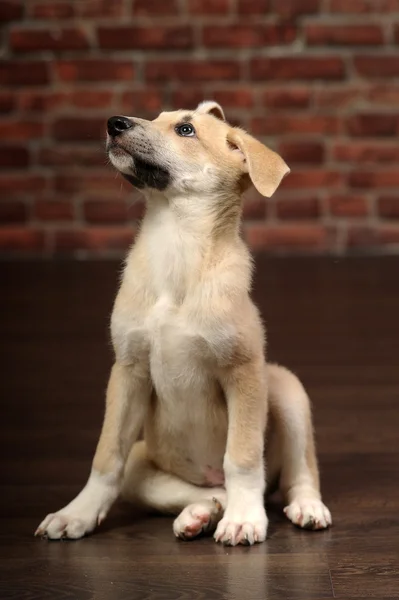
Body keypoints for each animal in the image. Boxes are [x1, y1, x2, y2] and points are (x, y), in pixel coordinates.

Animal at [36, 102, 332, 544]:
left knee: (294, 474)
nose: (113, 123)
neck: (177, 243)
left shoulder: (244, 372)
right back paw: (201, 512)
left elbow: (242, 457)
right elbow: (105, 458)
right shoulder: (128, 371)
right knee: (195, 489)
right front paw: (77, 514)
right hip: (144, 458)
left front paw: (244, 519)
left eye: (186, 130)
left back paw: (302, 507)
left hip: (285, 389)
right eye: (157, 118)